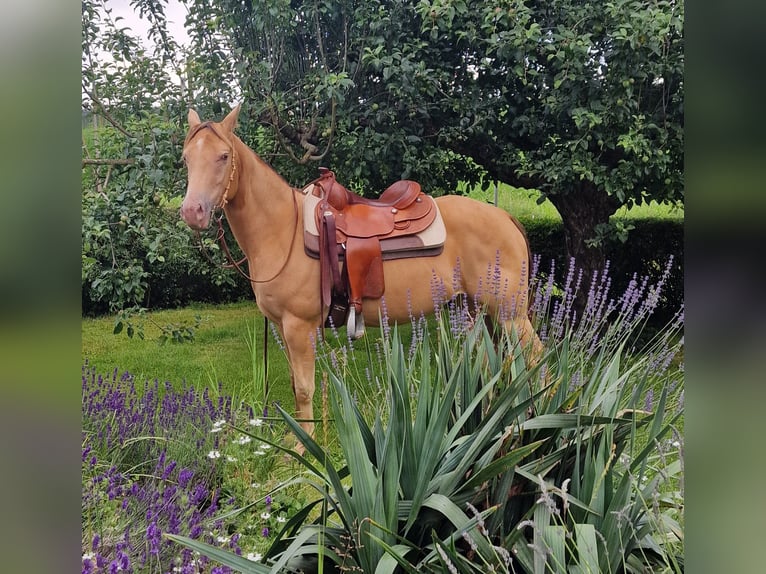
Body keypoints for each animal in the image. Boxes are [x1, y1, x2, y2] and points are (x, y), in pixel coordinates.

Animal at [181, 104, 544, 446]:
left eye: (223, 156)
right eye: (186, 158)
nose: (191, 212)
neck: (283, 230)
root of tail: (504, 217)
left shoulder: (299, 327)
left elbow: (304, 388)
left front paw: (306, 449)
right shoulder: (283, 328)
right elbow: (297, 386)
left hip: (509, 313)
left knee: (534, 357)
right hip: (474, 309)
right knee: (491, 363)